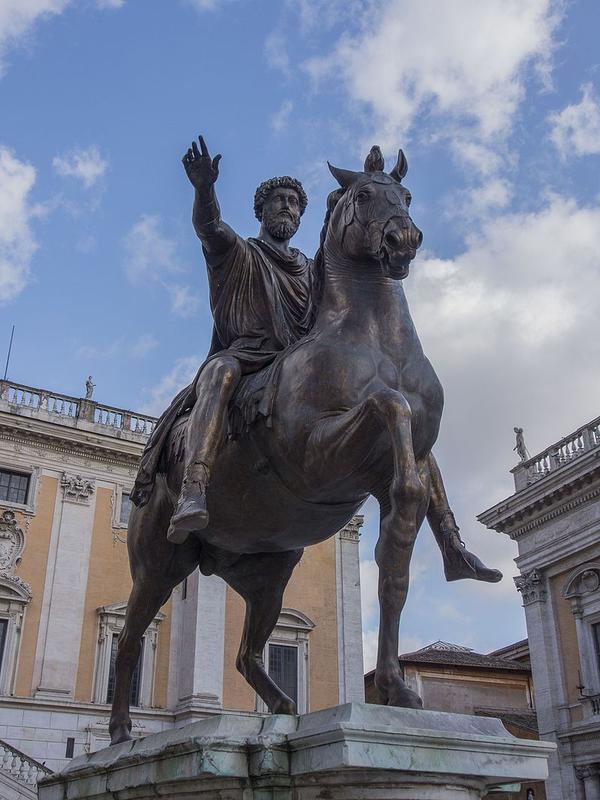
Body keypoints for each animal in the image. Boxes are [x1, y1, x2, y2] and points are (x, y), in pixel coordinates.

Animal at [108, 147, 446, 748]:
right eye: (364, 194)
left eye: (405, 196)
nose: (402, 240)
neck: (373, 339)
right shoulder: (315, 455)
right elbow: (390, 405)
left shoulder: (390, 476)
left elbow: (396, 565)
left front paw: (395, 688)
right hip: (156, 569)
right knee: (128, 642)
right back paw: (123, 732)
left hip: (269, 576)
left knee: (246, 653)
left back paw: (283, 707)